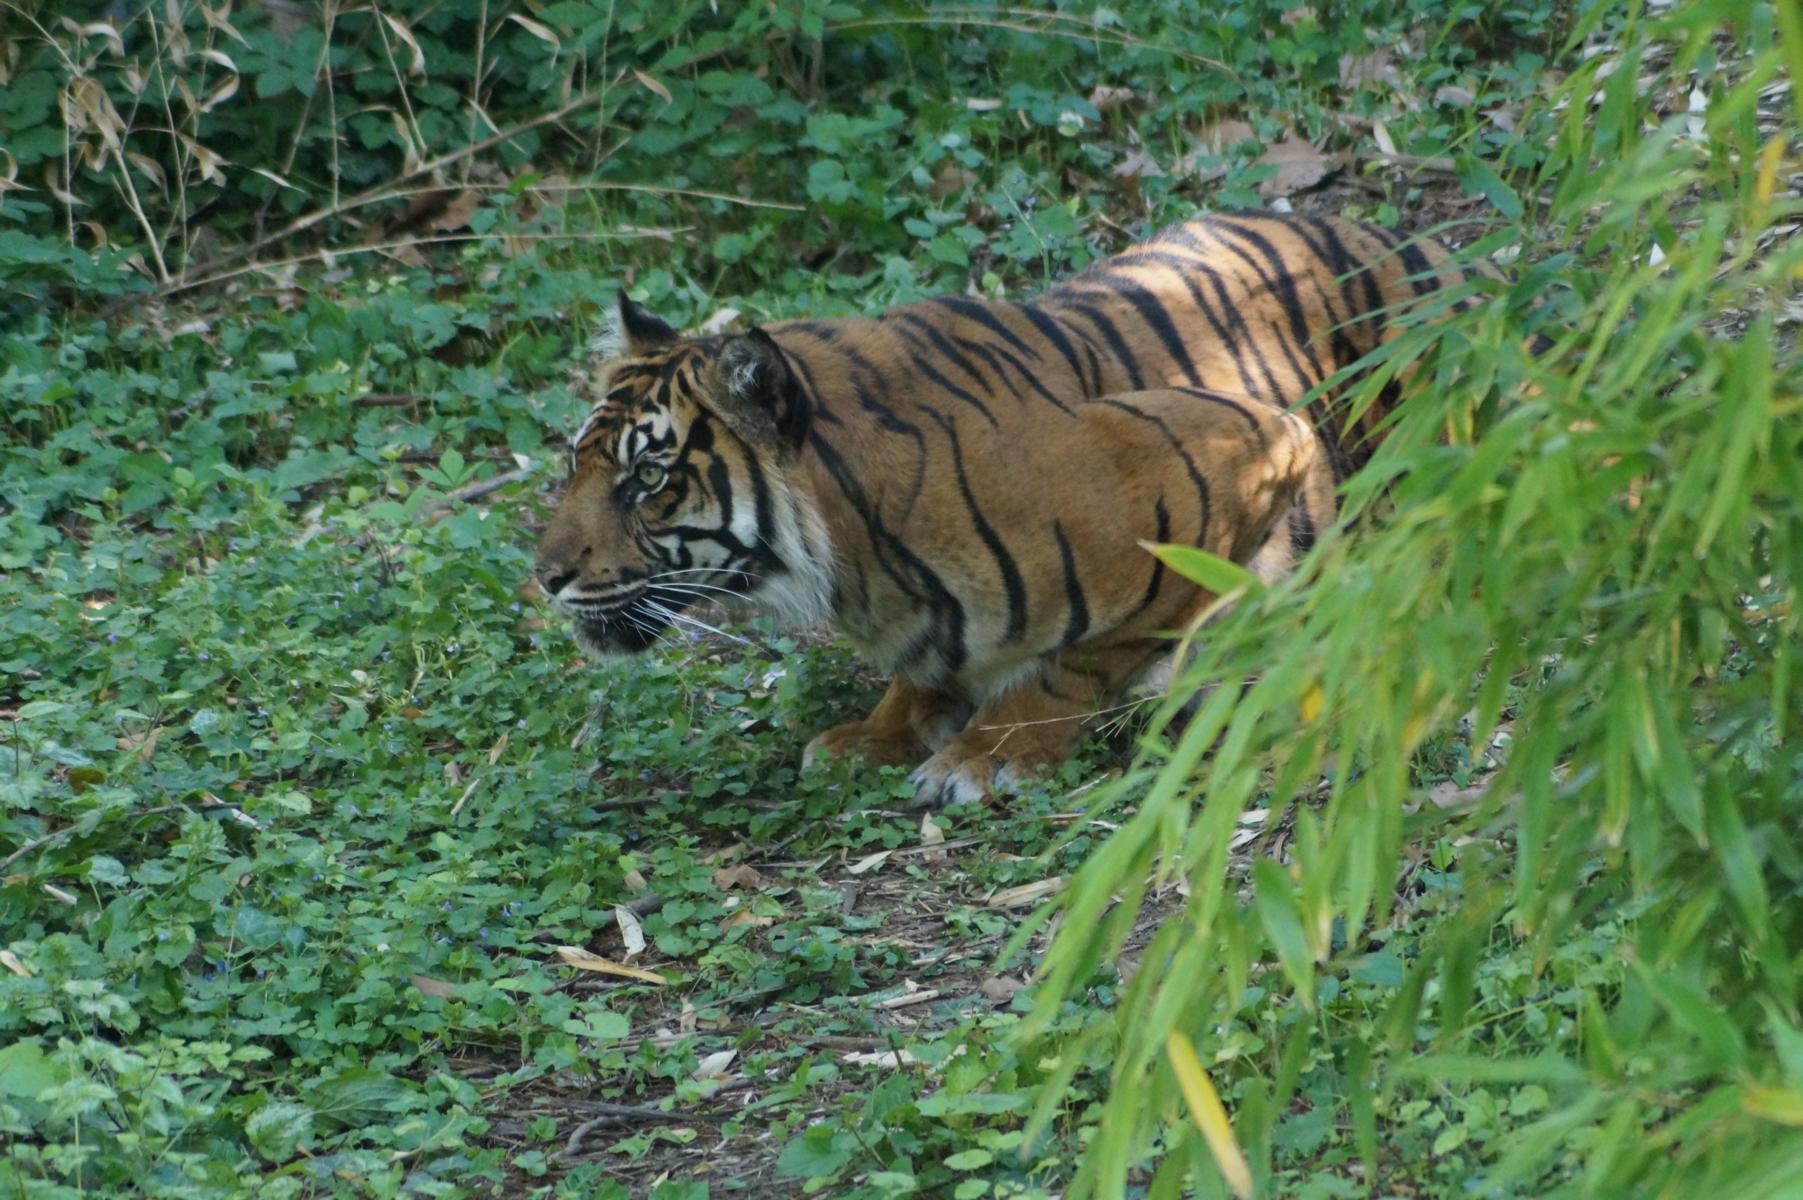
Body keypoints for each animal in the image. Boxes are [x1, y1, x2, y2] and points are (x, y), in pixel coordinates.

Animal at [532, 211, 1471, 806]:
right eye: (577, 464)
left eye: (647, 478)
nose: (544, 579)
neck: (857, 553)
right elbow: (920, 672)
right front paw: (874, 734)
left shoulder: (1240, 452)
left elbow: (1081, 658)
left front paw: (988, 753)